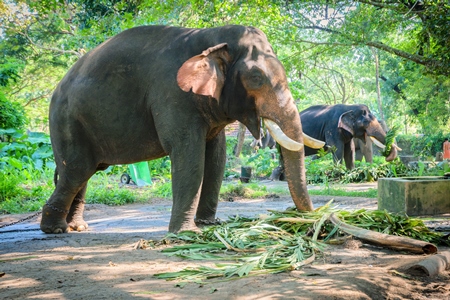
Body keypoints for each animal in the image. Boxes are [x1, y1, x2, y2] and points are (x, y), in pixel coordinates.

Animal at [40, 24, 318, 234]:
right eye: (257, 79)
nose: (311, 218)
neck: (211, 38)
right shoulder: (171, 93)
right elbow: (189, 154)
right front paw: (186, 233)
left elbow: (216, 157)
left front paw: (208, 224)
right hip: (66, 122)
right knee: (76, 171)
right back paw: (55, 229)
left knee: (84, 174)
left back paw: (77, 227)